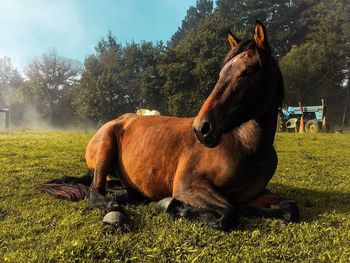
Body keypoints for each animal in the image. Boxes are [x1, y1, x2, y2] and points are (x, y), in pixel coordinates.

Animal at [39, 21, 300, 231]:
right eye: (222, 71)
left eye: (249, 71)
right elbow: (228, 213)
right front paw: (177, 207)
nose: (202, 128)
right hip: (105, 150)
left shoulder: (258, 193)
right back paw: (115, 210)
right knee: (94, 193)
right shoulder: (188, 186)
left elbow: (290, 208)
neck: (245, 147)